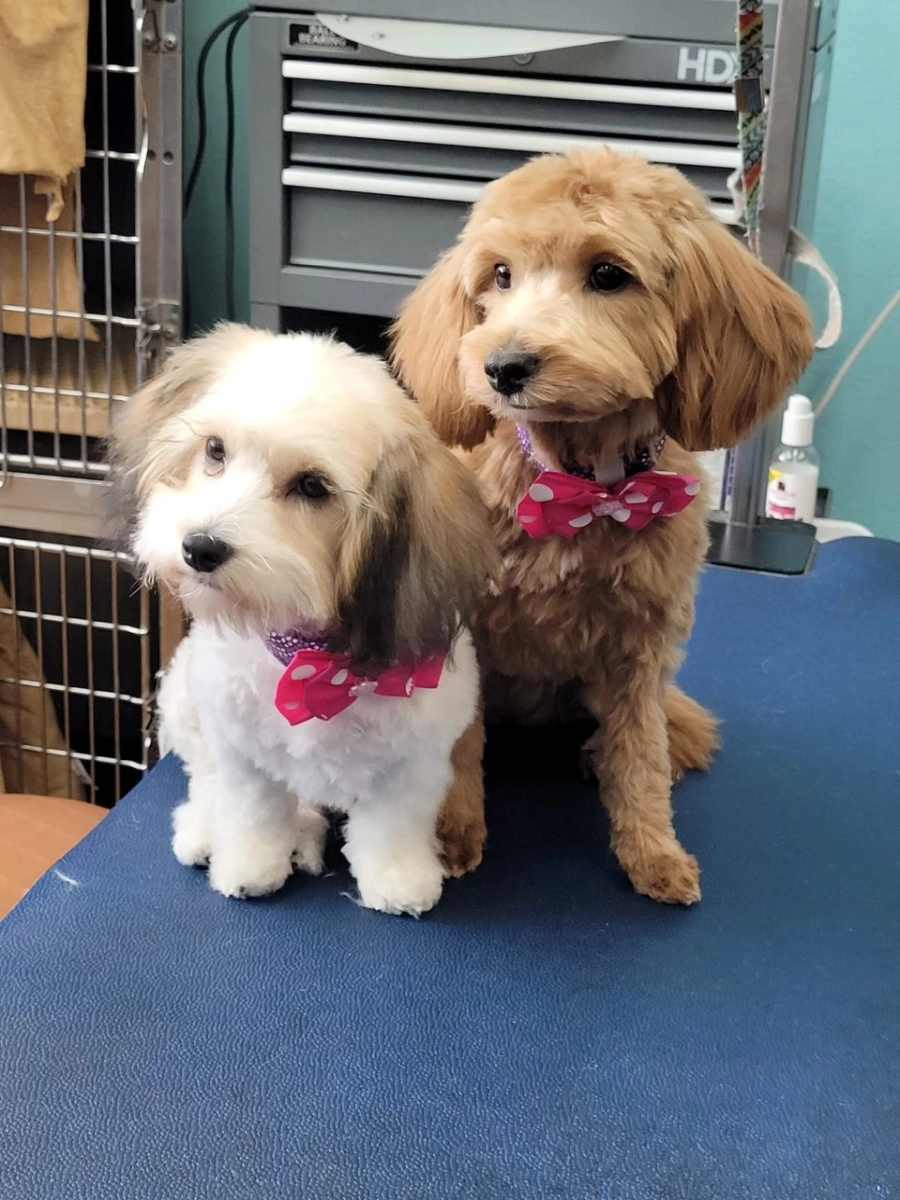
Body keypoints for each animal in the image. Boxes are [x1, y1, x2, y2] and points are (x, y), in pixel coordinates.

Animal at [108, 325, 492, 914]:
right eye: (215, 450)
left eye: (313, 486)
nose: (199, 547)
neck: (311, 665)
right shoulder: (243, 753)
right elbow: (253, 814)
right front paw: (249, 868)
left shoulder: (415, 762)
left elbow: (393, 826)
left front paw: (398, 880)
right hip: (186, 702)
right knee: (206, 780)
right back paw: (203, 831)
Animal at [391, 148, 814, 904]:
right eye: (500, 274)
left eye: (609, 275)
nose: (502, 366)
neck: (582, 486)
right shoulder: (467, 629)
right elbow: (460, 743)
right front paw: (454, 830)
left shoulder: (641, 652)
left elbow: (641, 757)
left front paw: (652, 851)